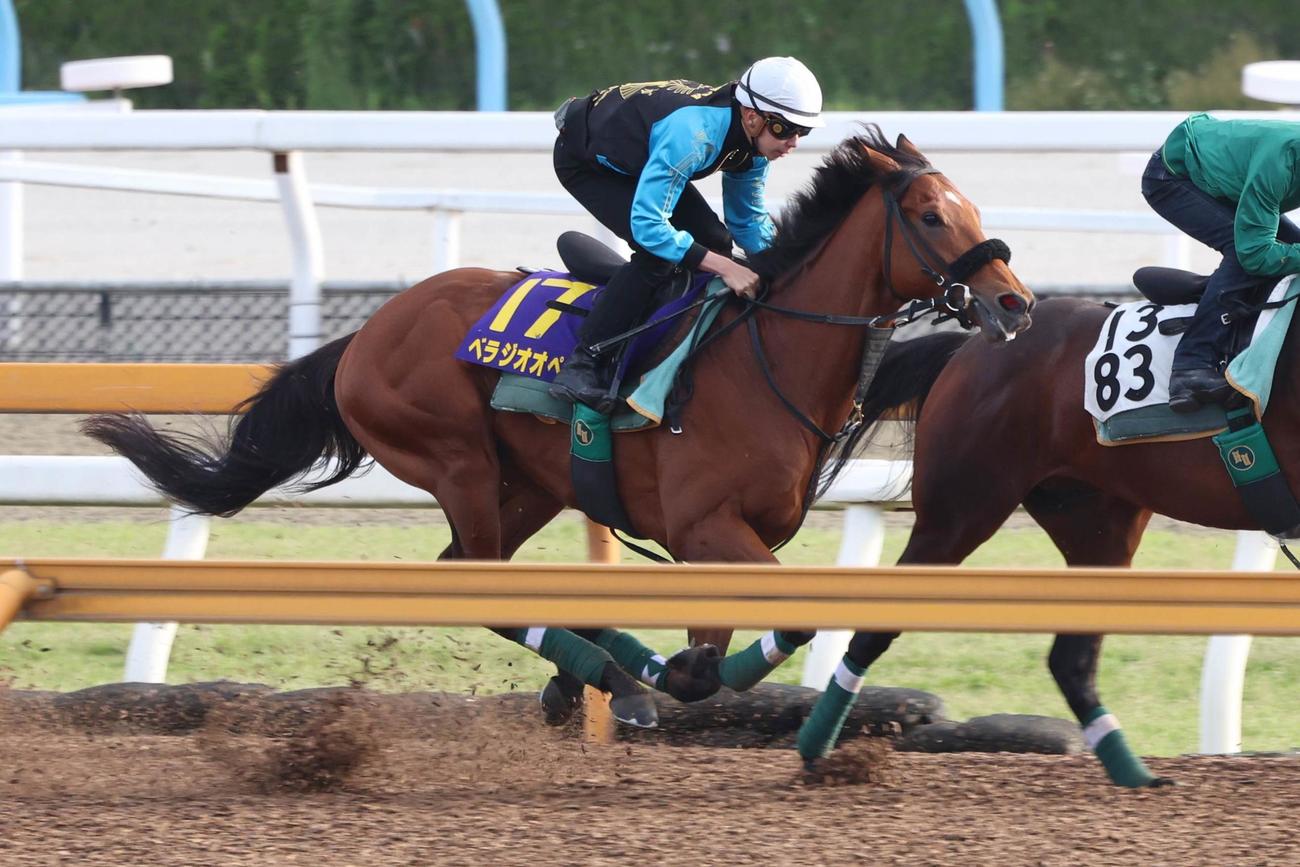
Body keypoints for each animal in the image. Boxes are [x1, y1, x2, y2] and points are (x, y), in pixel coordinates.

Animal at [81, 125, 1034, 730]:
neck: (768, 355)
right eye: (931, 215)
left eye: (975, 209)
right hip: (456, 458)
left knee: (479, 574)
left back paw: (600, 674)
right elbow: (781, 623)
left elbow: (718, 640)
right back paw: (612, 673)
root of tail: (366, 334)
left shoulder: (721, 542)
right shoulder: (706, 528)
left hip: (531, 483)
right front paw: (668, 673)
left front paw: (670, 669)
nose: (1014, 304)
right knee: (483, 583)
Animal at [791, 288, 1300, 787]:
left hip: (1097, 527)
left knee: (1070, 662)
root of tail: (968, 349)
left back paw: (1133, 773)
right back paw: (816, 747)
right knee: (876, 626)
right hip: (959, 513)